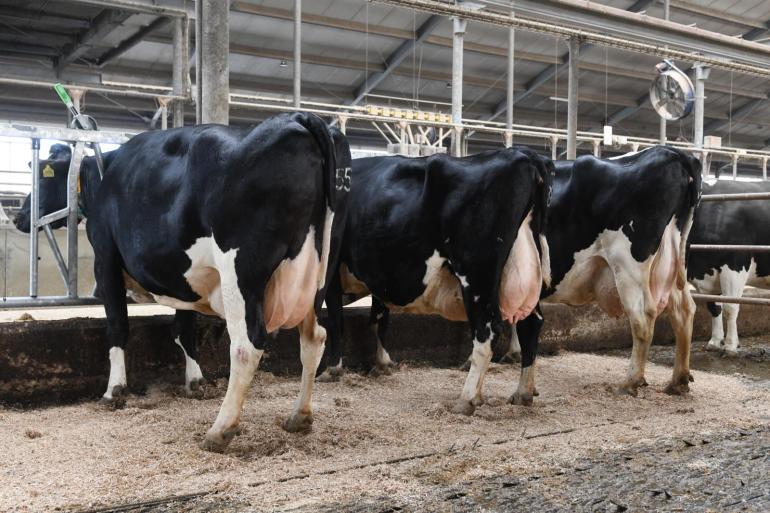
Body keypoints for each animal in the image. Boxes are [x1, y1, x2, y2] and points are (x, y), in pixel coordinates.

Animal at [15, 113, 352, 452]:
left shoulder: (105, 257)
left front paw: (114, 391)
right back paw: (299, 417)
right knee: (314, 338)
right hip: (320, 271)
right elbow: (183, 329)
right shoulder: (186, 277)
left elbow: (118, 326)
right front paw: (195, 381)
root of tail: (296, 118)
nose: (18, 218)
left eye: (44, 177)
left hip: (241, 269)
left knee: (247, 345)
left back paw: (220, 430)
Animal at [320, 146, 552, 414]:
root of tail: (523, 154)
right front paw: (382, 364)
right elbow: (379, 319)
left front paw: (332, 369)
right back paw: (523, 392)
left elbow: (336, 320)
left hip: (476, 276)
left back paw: (467, 398)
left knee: (488, 331)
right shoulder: (379, 277)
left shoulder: (332, 269)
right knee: (531, 324)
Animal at [504, 146, 704, 398]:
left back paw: (630, 382)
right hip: (673, 266)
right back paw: (678, 381)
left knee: (642, 316)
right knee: (684, 311)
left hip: (629, 266)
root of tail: (673, 153)